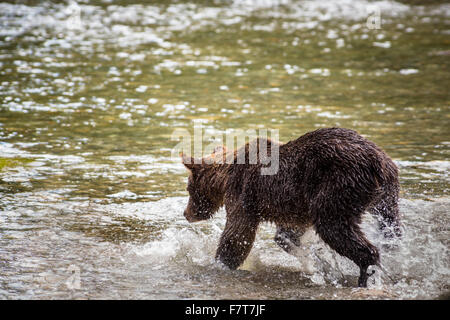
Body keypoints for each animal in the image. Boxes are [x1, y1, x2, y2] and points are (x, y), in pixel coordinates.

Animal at [181, 126, 402, 286]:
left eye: (188, 187)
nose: (186, 213)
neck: (225, 177)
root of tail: (378, 162)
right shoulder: (293, 206)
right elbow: (287, 234)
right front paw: (309, 259)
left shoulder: (243, 194)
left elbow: (237, 234)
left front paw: (219, 263)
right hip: (386, 195)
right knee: (391, 228)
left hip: (338, 186)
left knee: (335, 227)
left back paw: (365, 277)